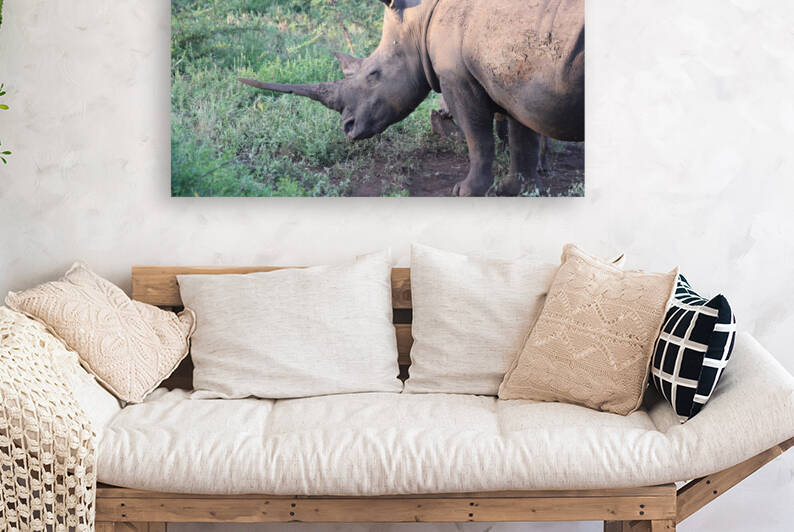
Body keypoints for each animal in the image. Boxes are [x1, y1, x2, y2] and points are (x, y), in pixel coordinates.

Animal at [239, 0, 584, 196]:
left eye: (373, 74)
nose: (347, 128)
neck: (421, 19)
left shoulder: (459, 77)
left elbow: (478, 136)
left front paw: (465, 192)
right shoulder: (511, 76)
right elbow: (521, 133)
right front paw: (516, 190)